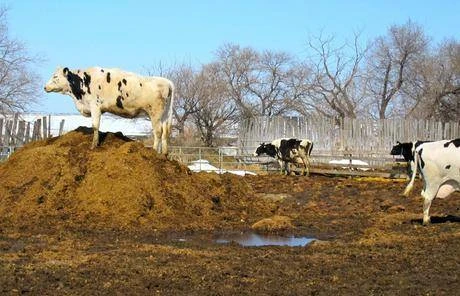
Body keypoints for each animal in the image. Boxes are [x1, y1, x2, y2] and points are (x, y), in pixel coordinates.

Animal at [45, 67, 174, 155]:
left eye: (55, 76)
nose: (45, 87)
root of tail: (168, 82)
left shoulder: (95, 106)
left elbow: (95, 126)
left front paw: (93, 145)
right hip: (165, 114)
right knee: (165, 132)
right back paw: (164, 154)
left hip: (155, 113)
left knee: (158, 131)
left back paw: (154, 151)